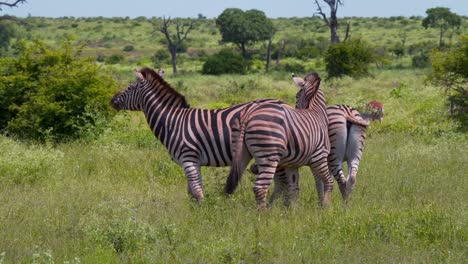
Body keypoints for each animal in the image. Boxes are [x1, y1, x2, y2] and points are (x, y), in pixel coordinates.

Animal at [109, 67, 288, 201]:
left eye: (130, 87)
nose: (112, 100)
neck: (173, 121)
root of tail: (284, 105)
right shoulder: (193, 161)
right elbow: (191, 193)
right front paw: (193, 215)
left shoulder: (188, 157)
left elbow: (196, 192)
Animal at [225, 72, 334, 208]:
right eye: (296, 96)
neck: (317, 112)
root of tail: (248, 114)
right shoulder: (319, 157)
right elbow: (328, 181)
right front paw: (326, 206)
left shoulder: (292, 164)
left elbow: (293, 188)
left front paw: (294, 210)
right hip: (269, 154)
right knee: (260, 187)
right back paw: (264, 213)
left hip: (241, 153)